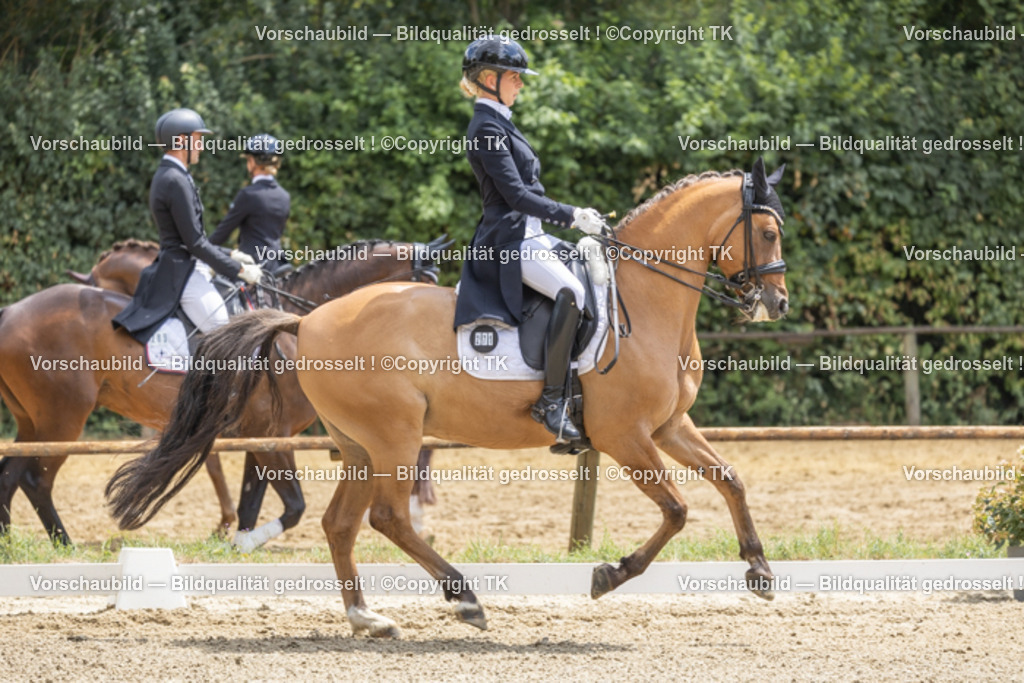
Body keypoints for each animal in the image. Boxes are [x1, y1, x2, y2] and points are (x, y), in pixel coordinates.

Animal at [0, 239, 442, 546]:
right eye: (424, 289)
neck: (299, 322)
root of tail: (11, 312)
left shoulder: (260, 435)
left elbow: (253, 500)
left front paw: (235, 541)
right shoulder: (271, 433)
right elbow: (292, 505)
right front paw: (238, 539)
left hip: (33, 422)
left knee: (10, 474)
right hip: (62, 419)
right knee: (36, 480)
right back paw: (64, 544)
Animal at [107, 160, 790, 637]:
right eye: (765, 230)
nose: (776, 303)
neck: (643, 303)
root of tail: (308, 320)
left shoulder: (671, 425)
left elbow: (729, 479)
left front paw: (758, 571)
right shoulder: (625, 436)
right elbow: (676, 510)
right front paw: (608, 574)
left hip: (361, 444)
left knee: (340, 524)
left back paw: (368, 618)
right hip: (394, 435)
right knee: (386, 518)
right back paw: (464, 599)